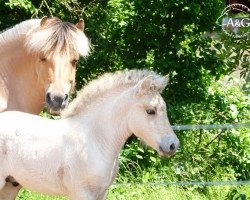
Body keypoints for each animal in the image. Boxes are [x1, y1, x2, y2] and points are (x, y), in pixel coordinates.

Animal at [0, 69, 180, 200]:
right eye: (151, 111)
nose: (173, 145)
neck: (95, 140)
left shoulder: (102, 193)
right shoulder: (82, 193)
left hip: (10, 185)